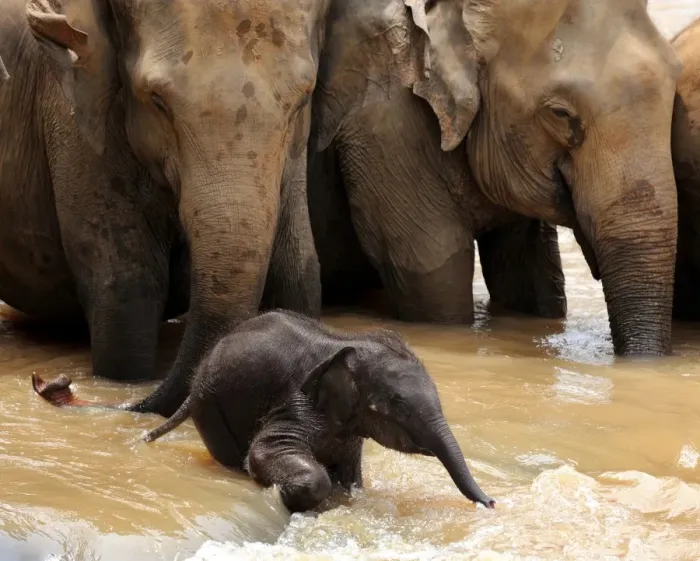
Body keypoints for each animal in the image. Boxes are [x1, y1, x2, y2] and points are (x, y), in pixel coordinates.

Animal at [0, 0, 325, 414]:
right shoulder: (74, 121)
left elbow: (298, 275)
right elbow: (128, 296)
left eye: (302, 100)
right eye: (157, 101)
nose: (52, 383)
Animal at [31, 310, 495, 513]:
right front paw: (295, 496)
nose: (492, 502)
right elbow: (266, 451)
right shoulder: (296, 402)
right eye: (398, 405)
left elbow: (352, 476)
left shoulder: (348, 427)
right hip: (211, 407)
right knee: (232, 453)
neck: (346, 341)